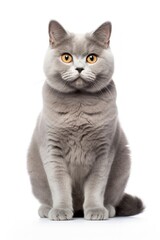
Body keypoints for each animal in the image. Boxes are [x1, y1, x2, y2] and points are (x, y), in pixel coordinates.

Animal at [27, 20, 144, 221]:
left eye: (91, 58)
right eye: (66, 57)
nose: (80, 68)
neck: (78, 107)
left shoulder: (104, 151)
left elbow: (96, 185)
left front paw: (96, 210)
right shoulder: (52, 149)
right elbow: (59, 185)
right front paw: (60, 211)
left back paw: (108, 209)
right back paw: (46, 209)